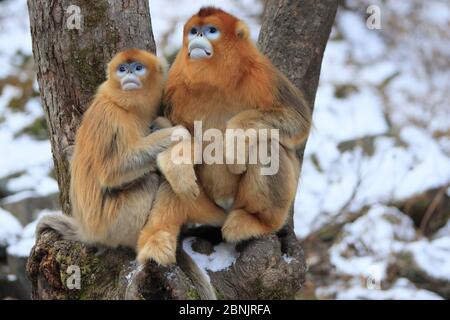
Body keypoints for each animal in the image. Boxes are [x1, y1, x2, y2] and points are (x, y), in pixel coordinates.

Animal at [139, 8, 312, 268]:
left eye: (211, 30)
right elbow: (168, 129)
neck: (215, 82)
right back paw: (157, 239)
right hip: (204, 205)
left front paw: (235, 141)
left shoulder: (263, 74)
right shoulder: (175, 82)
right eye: (193, 31)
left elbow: (298, 120)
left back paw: (257, 221)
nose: (198, 36)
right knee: (173, 181)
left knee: (266, 144)